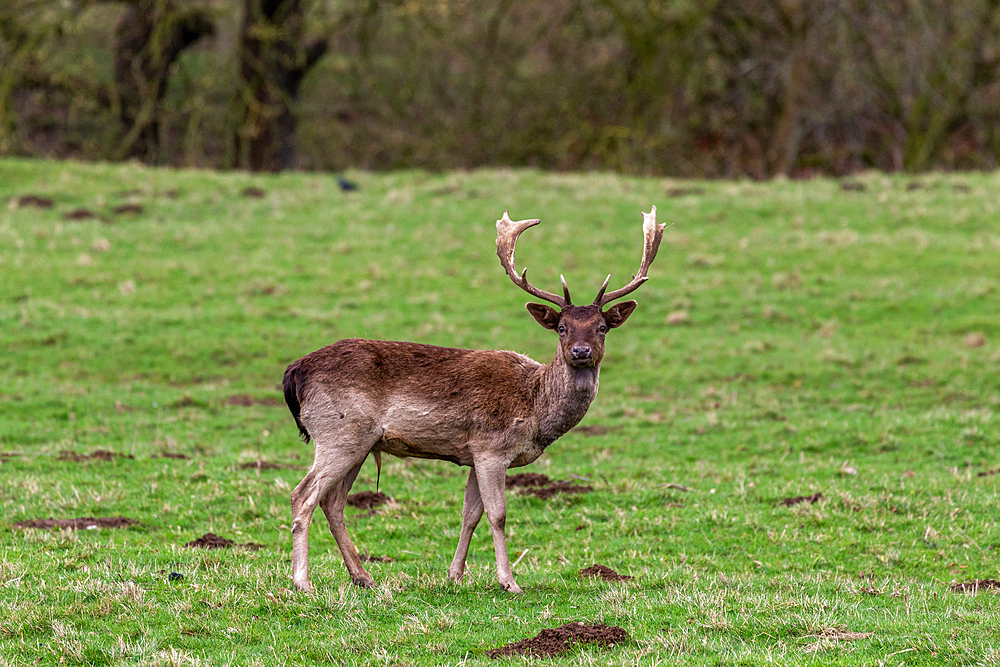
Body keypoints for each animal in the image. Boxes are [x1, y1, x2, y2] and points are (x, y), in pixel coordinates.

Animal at [282, 206, 668, 592]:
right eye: (562, 328)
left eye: (602, 327)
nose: (581, 351)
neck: (535, 410)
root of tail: (296, 370)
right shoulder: (491, 449)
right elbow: (498, 515)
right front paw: (509, 582)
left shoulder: (472, 455)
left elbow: (470, 515)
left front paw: (455, 574)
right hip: (338, 432)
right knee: (303, 495)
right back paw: (303, 582)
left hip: (360, 441)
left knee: (333, 502)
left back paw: (363, 577)